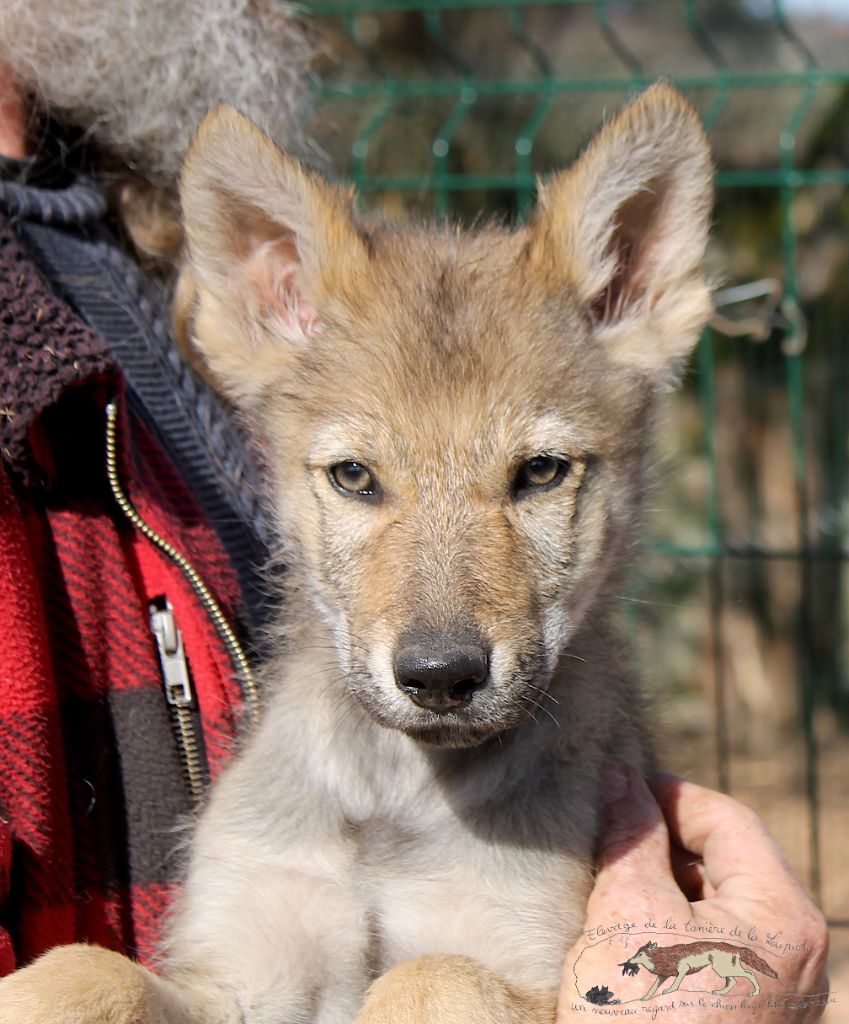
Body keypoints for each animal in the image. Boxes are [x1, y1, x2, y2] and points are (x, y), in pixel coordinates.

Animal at [0, 83, 716, 1024]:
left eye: (539, 472)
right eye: (353, 476)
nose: (441, 676)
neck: (393, 799)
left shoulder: (549, 966)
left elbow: (428, 975)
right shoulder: (243, 967)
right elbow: (83, 969)